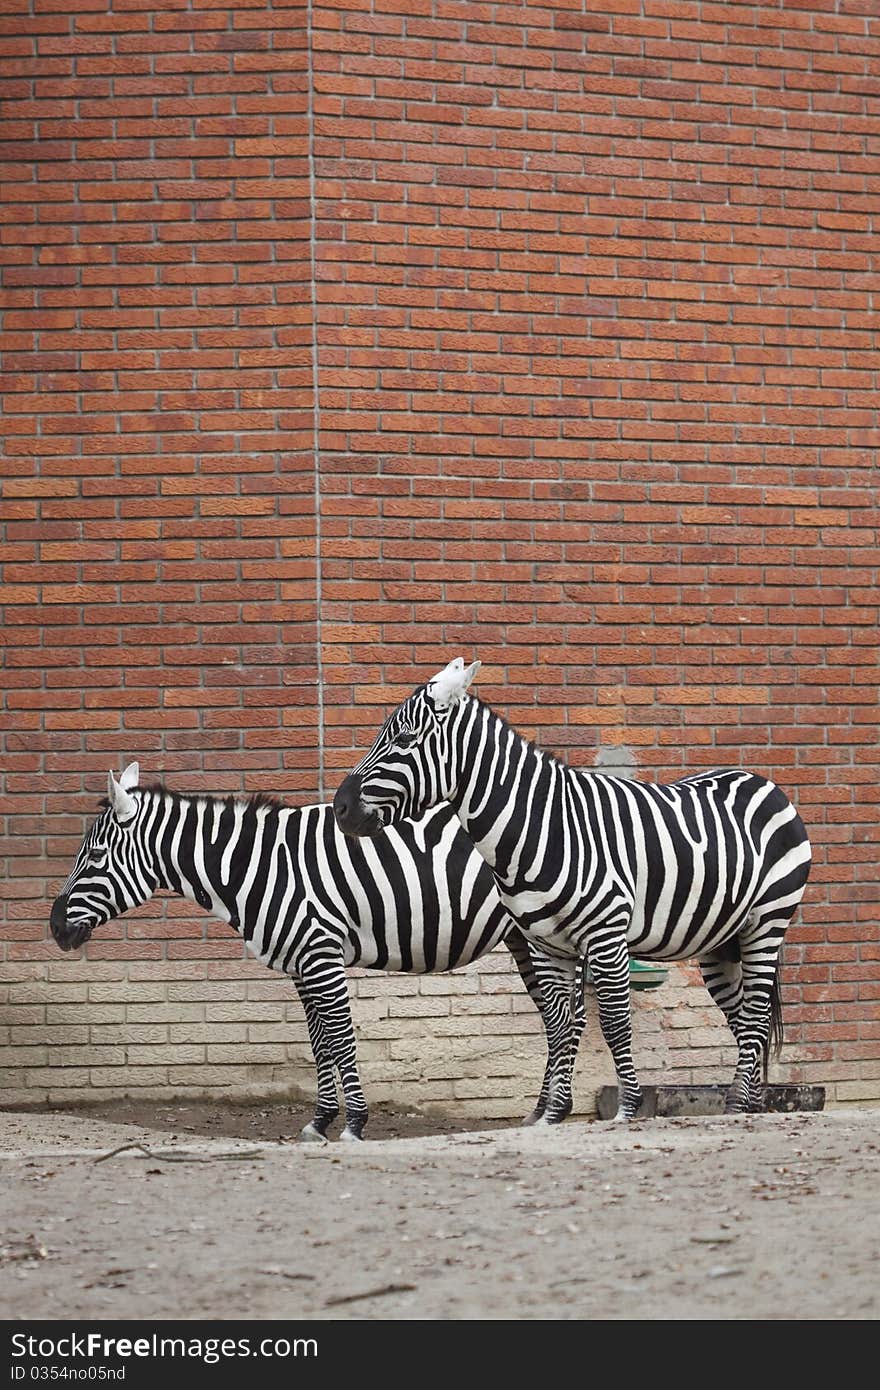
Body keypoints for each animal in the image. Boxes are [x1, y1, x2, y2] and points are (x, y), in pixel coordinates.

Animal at [47, 761, 583, 1139]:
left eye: (94, 856)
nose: (54, 927)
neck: (260, 866)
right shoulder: (302, 964)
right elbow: (319, 1041)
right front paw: (320, 1121)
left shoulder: (321, 953)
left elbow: (341, 1038)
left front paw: (355, 1124)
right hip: (527, 939)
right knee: (558, 1019)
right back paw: (539, 1112)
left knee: (564, 1018)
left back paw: (555, 1113)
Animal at [332, 656, 811, 1123]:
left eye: (404, 738)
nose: (340, 808)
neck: (541, 828)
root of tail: (759, 780)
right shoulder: (545, 944)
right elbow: (561, 1024)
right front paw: (553, 1113)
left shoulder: (606, 937)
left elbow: (614, 1024)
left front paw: (627, 1111)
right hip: (720, 941)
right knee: (745, 1018)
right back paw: (748, 1104)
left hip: (766, 923)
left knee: (754, 1017)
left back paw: (738, 1107)